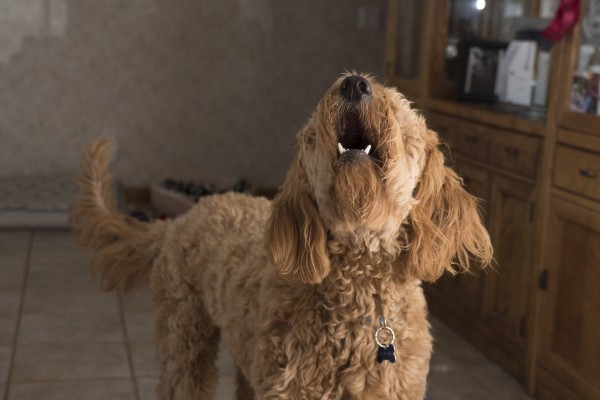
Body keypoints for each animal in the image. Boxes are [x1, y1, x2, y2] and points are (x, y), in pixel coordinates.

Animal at [70, 73, 492, 398]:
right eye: (314, 132)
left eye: (397, 108)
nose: (354, 84)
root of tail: (182, 218)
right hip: (184, 337)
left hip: (246, 355)